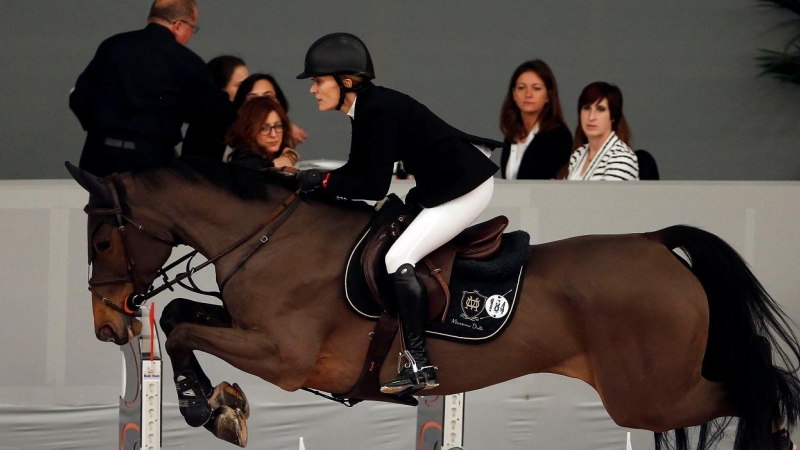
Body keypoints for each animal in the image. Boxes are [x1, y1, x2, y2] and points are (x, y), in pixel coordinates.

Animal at [65, 159, 800, 450]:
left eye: (101, 238)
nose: (105, 326)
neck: (267, 236)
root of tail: (655, 243)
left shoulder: (284, 356)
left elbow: (183, 327)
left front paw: (210, 407)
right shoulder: (250, 332)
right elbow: (181, 321)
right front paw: (218, 406)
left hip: (650, 395)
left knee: (763, 387)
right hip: (656, 392)